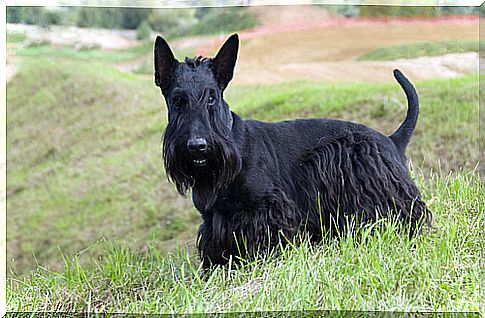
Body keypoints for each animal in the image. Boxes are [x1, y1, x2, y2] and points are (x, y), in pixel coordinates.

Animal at [153, 33, 430, 268]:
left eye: (211, 97)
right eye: (178, 100)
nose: (198, 146)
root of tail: (391, 140)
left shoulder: (267, 209)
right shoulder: (213, 221)